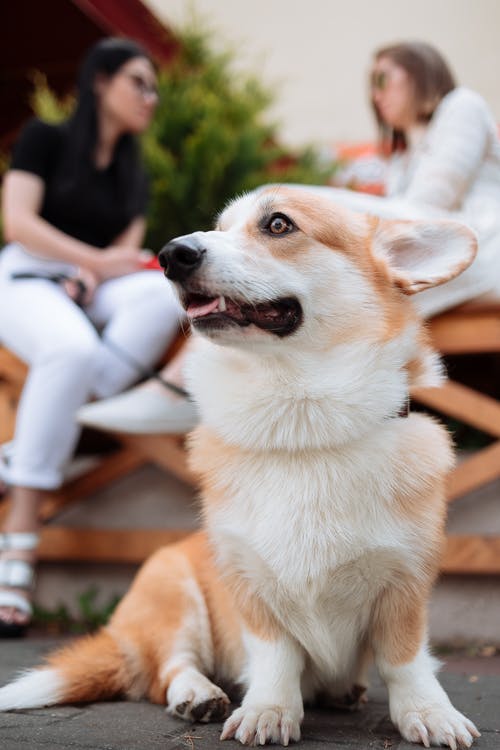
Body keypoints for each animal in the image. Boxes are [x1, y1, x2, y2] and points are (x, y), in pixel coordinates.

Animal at [0, 187, 484, 748]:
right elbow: (275, 657)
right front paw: (268, 711)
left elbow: (405, 661)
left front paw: (429, 712)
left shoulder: (406, 581)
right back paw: (198, 695)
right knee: (167, 669)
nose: (171, 255)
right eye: (219, 227)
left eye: (278, 224)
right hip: (174, 593)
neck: (302, 430)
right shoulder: (251, 584)